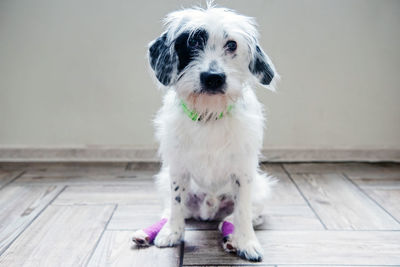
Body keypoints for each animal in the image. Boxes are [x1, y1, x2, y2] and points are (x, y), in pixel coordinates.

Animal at [133, 3, 276, 262]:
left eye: (232, 44)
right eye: (191, 42)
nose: (213, 78)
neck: (209, 114)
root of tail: (207, 212)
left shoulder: (244, 172)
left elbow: (243, 211)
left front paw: (246, 242)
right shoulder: (178, 168)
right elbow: (176, 202)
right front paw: (173, 232)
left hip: (262, 187)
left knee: (246, 214)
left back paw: (230, 233)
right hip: (164, 180)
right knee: (171, 209)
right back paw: (151, 232)